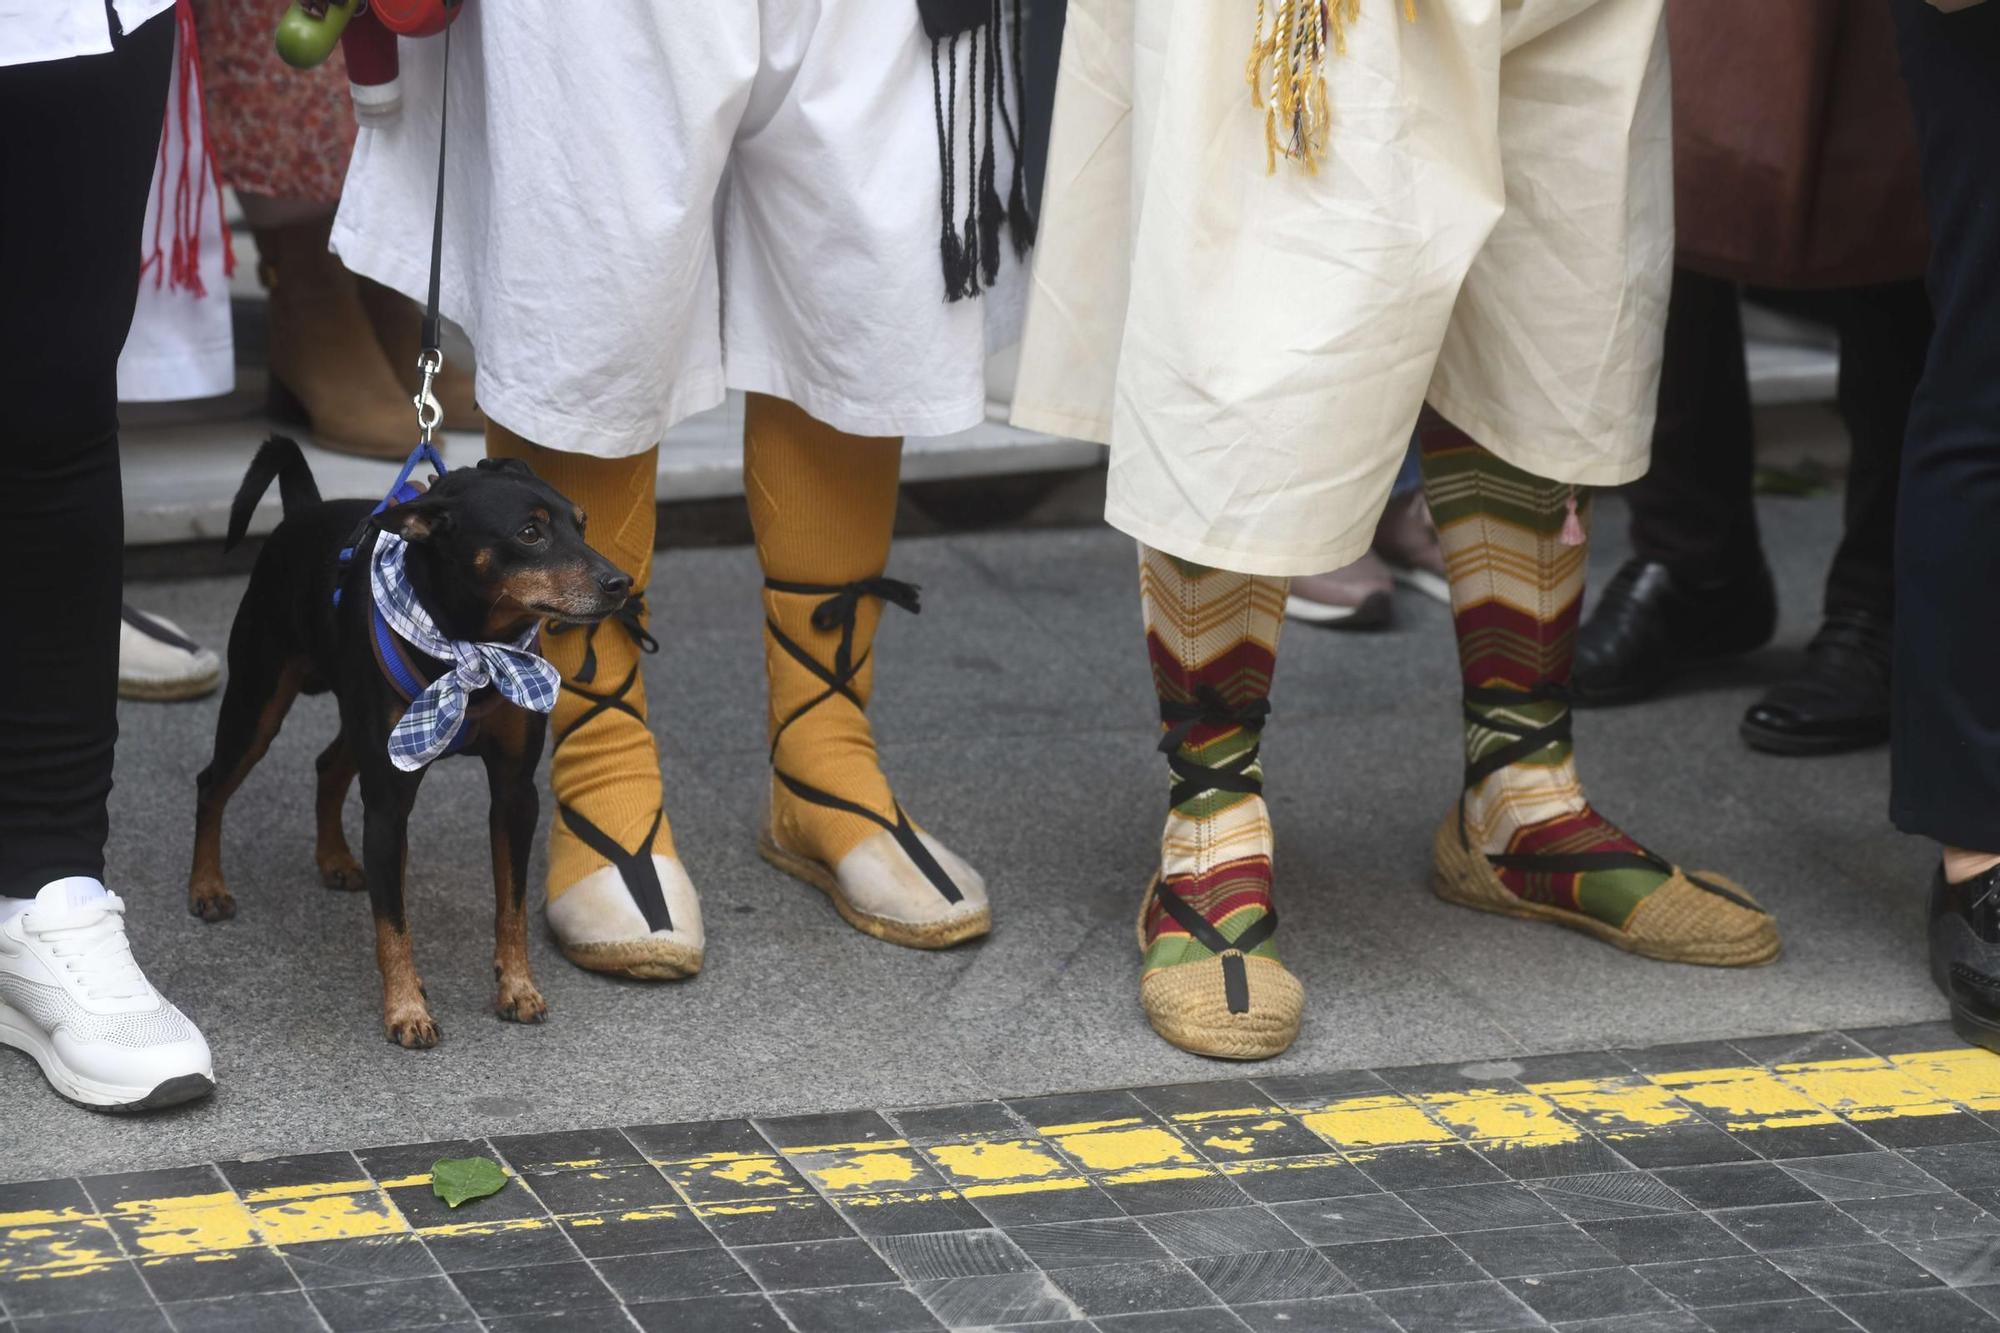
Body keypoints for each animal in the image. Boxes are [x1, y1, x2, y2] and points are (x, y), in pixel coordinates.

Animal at [188, 440, 628, 1040]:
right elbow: (392, 922)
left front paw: (517, 987)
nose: (620, 583)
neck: (470, 644)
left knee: (328, 766)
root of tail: (303, 510)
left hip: (358, 722)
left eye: (582, 524)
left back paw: (335, 859)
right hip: (257, 702)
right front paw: (407, 1009)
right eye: (529, 533)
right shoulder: (389, 804)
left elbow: (510, 905)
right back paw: (207, 887)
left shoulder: (515, 793)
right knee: (212, 783)